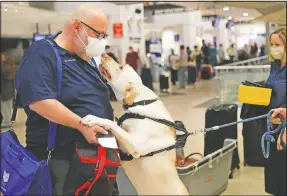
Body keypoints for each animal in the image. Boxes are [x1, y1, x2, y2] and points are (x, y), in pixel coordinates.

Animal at [81, 54, 189, 195]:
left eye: (121, 67)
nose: (104, 54)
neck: (141, 103)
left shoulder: (136, 145)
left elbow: (111, 123)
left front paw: (93, 119)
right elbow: (115, 122)